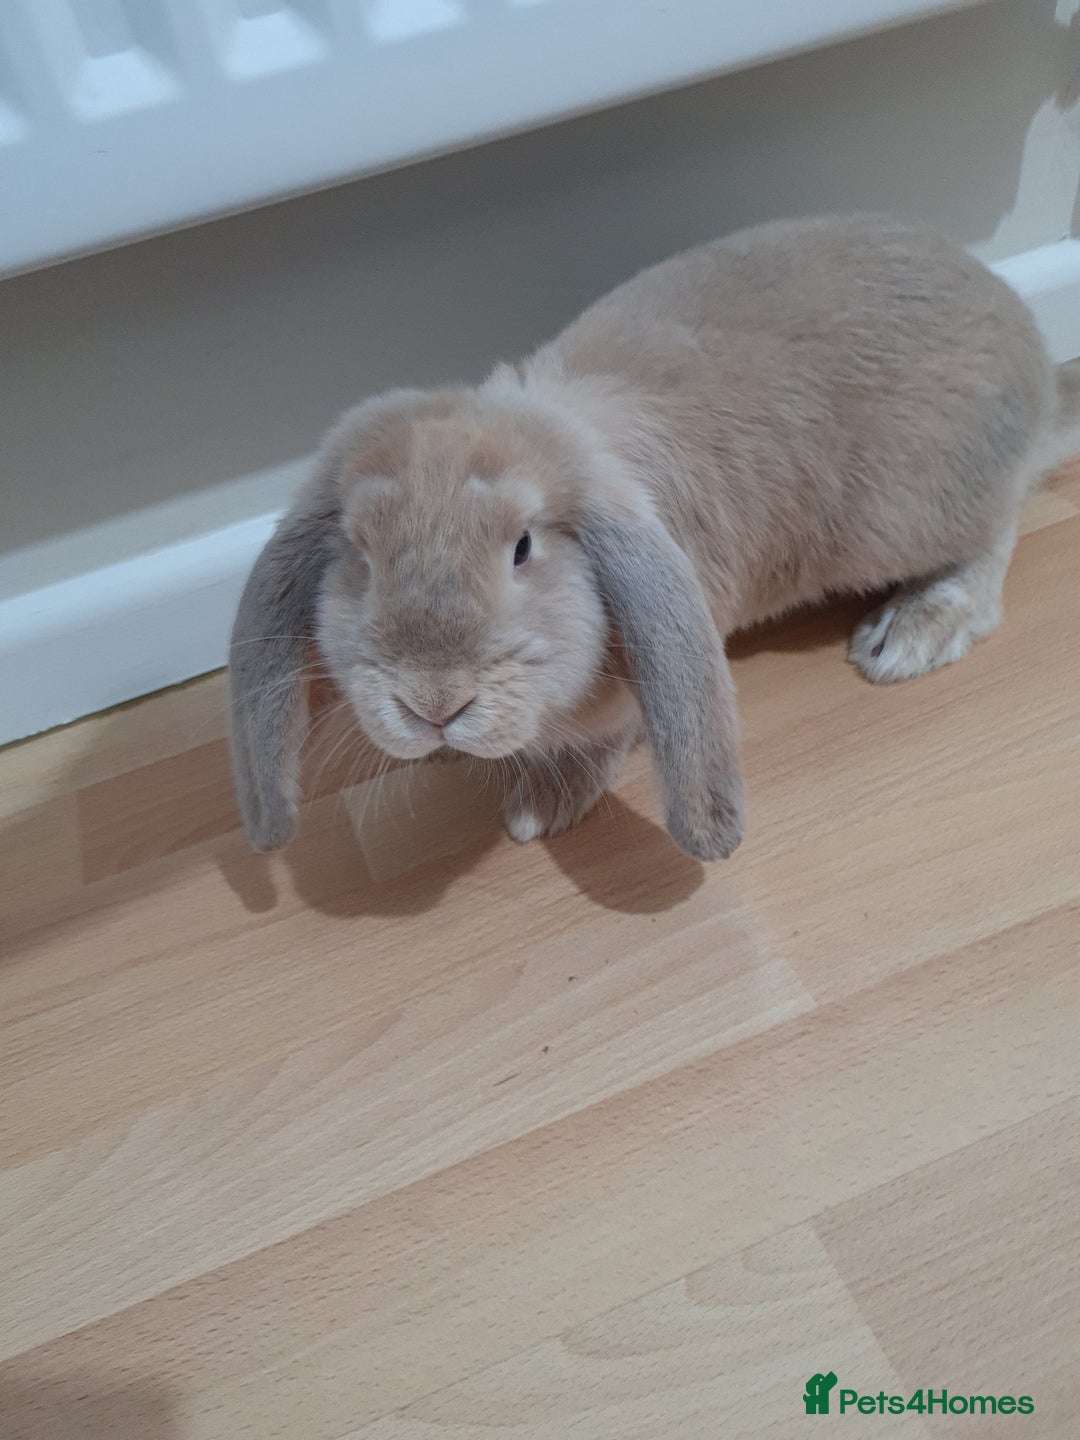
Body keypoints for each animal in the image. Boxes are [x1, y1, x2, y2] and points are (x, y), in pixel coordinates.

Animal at [229, 213, 1077, 863]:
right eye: (361, 557)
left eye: (523, 547)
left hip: (909, 514)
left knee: (995, 531)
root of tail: (1031, 352)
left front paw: (537, 807)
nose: (434, 701)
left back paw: (911, 633)